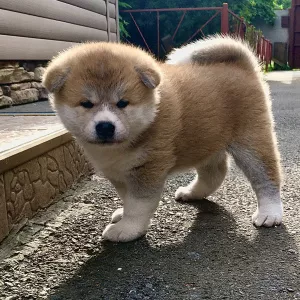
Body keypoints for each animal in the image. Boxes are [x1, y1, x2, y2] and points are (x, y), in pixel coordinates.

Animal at [42, 35, 284, 241]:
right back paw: (192, 193)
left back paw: (269, 213)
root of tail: (241, 66)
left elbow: (138, 206)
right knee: (215, 173)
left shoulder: (147, 168)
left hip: (251, 142)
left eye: (123, 103)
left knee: (266, 177)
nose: (105, 126)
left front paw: (127, 229)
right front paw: (123, 214)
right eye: (86, 103)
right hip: (205, 139)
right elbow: (127, 199)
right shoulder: (120, 172)